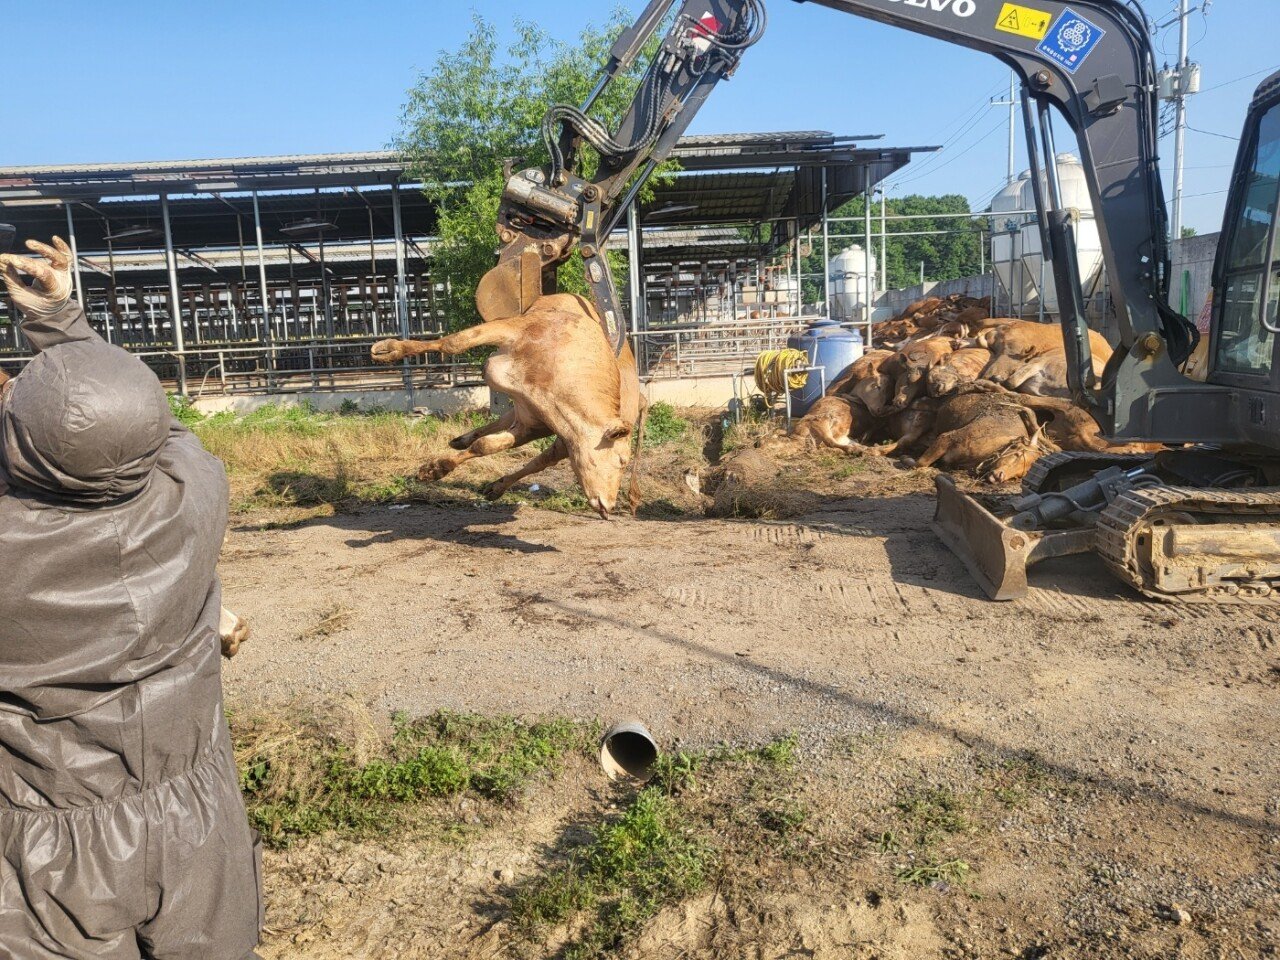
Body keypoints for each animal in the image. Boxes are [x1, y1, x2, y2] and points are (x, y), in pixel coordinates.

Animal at [373, 293, 645, 519]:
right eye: (622, 460)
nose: (610, 507)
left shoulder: (533, 424)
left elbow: (488, 445)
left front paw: (436, 469)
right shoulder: (510, 328)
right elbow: (455, 342)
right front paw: (390, 349)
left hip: (551, 436)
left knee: (539, 458)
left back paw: (493, 482)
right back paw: (462, 441)